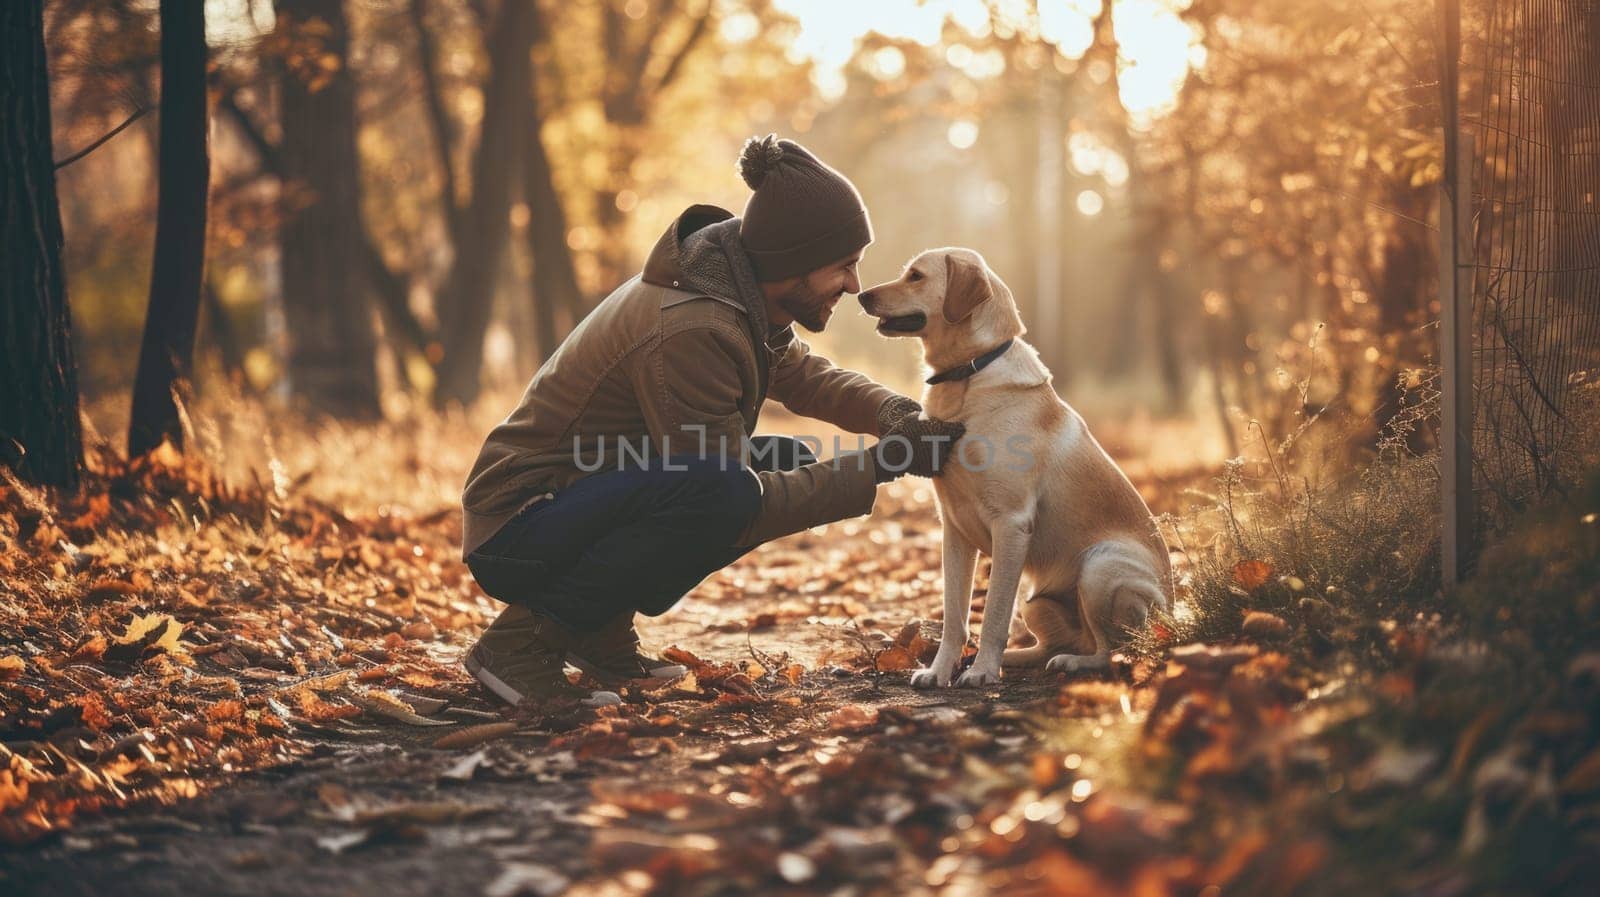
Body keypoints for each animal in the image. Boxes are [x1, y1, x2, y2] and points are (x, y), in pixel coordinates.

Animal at [864, 246, 1177, 684]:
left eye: (916, 276)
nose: (862, 295)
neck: (969, 373)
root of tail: (1175, 616)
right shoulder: (953, 529)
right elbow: (955, 617)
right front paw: (941, 671)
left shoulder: (1010, 524)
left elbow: (994, 613)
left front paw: (981, 672)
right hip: (1037, 602)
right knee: (1063, 643)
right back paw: (1018, 657)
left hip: (1101, 569)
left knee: (1113, 651)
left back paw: (1070, 663)